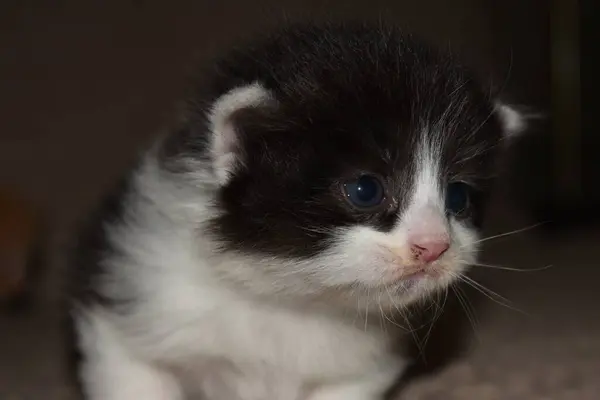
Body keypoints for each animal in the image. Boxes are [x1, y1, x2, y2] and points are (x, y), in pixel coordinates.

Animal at [67, 21, 524, 400]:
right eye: (365, 190)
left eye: (458, 198)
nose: (433, 246)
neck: (288, 299)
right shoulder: (135, 302)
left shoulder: (358, 370)